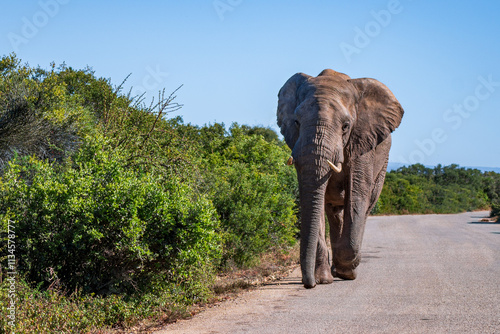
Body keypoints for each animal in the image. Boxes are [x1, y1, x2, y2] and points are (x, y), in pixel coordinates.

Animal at [278, 69, 402, 288]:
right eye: (296, 122)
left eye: (345, 126)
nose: (308, 284)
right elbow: (314, 202)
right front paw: (324, 279)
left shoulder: (363, 141)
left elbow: (357, 196)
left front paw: (348, 272)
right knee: (334, 212)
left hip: (383, 164)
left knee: (365, 206)